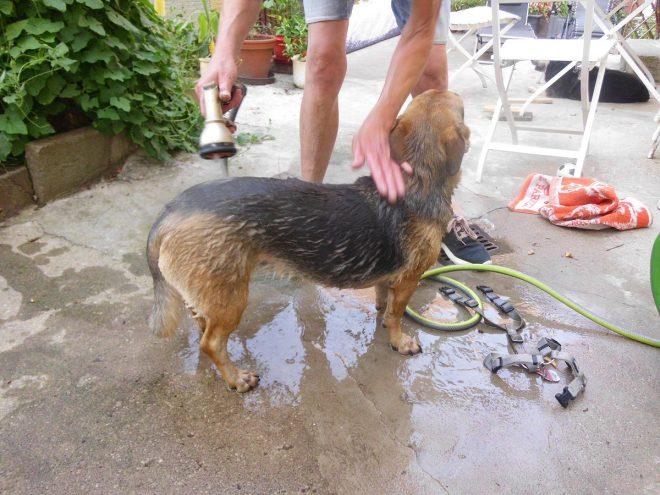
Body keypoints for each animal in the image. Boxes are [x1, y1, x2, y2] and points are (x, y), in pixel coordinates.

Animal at [148, 89, 472, 392]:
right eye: (459, 104)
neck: (417, 178)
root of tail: (171, 212)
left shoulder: (390, 276)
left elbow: (383, 301)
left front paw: (381, 314)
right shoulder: (409, 280)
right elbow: (397, 314)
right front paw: (400, 341)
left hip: (211, 293)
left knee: (201, 322)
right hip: (232, 298)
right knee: (211, 343)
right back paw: (236, 378)